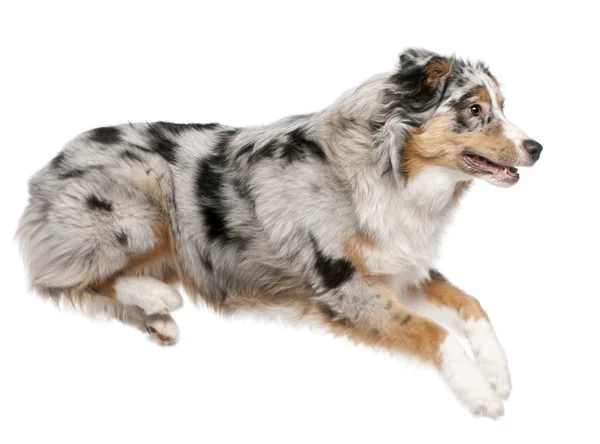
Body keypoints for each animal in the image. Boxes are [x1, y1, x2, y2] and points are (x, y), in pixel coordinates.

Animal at [17, 49, 540, 420]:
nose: (537, 147)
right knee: (60, 277)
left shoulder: (397, 268)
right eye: (474, 109)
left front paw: (498, 371)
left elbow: (469, 303)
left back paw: (158, 318)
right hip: (140, 203)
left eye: (502, 107)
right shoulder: (343, 287)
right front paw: (479, 393)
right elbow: (434, 332)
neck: (385, 170)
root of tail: (44, 173)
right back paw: (156, 299)